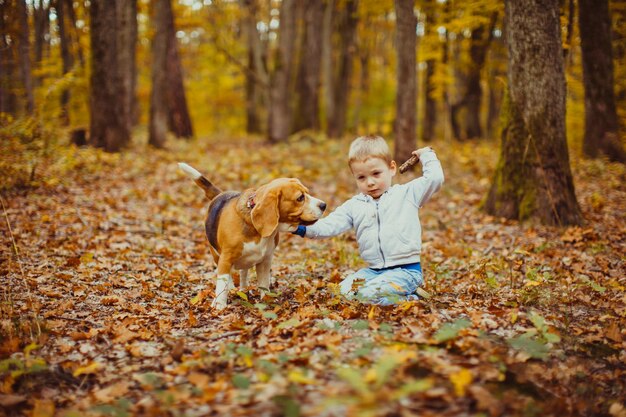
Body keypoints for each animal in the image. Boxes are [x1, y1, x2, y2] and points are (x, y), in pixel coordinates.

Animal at [174, 162, 322, 308]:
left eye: (307, 193)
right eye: (300, 198)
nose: (323, 205)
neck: (254, 225)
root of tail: (221, 194)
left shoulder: (265, 261)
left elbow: (264, 284)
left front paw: (266, 301)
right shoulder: (226, 259)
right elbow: (222, 284)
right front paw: (219, 306)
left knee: (243, 272)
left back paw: (244, 288)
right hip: (216, 254)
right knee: (227, 277)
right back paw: (232, 289)